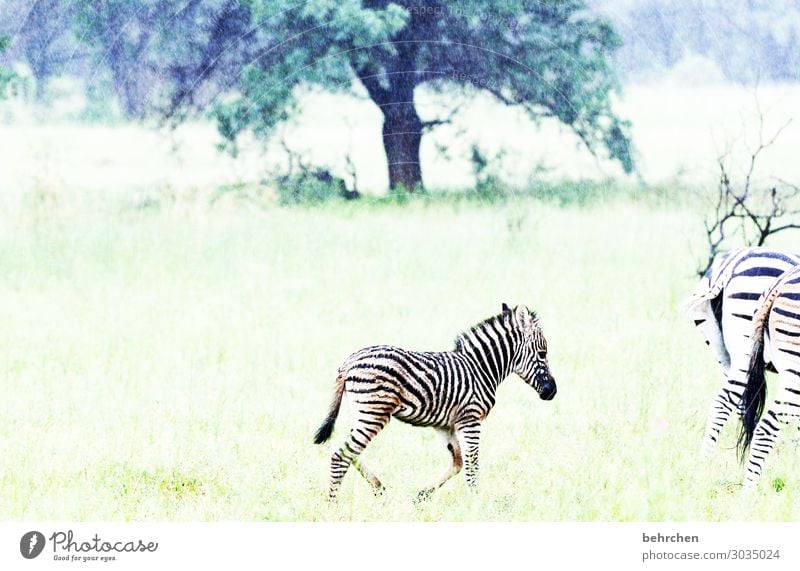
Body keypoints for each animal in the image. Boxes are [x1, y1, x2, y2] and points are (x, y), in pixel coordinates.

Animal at [312, 304, 556, 500]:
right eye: (542, 353)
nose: (552, 392)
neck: (480, 368)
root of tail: (348, 362)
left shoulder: (446, 425)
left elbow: (458, 462)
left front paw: (421, 496)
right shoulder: (470, 419)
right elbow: (472, 465)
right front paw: (476, 503)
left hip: (363, 414)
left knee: (349, 451)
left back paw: (379, 488)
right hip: (374, 413)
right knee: (341, 455)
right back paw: (333, 506)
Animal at [684, 246, 800, 456]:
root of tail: (727, 267)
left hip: (724, 355)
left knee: (741, 404)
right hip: (747, 347)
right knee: (725, 402)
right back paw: (706, 459)